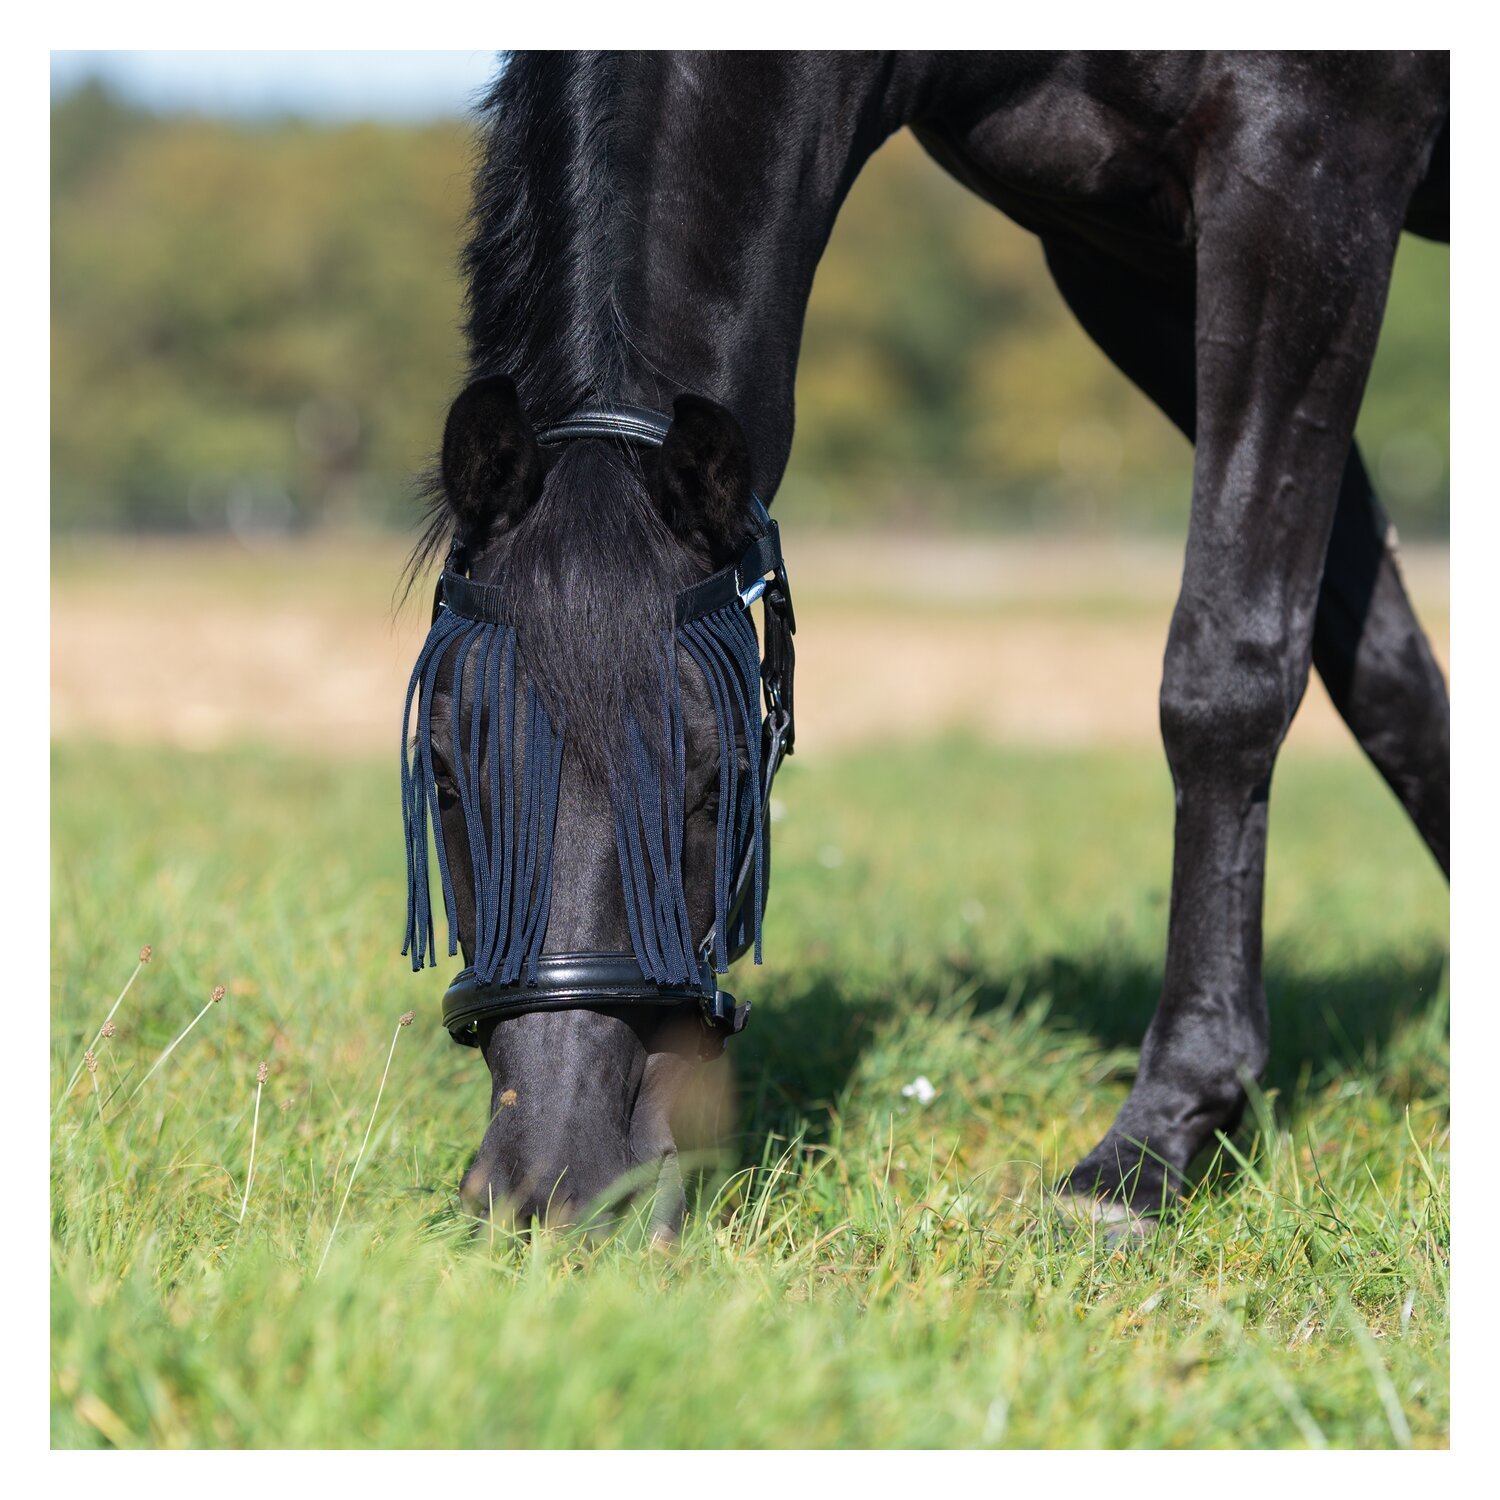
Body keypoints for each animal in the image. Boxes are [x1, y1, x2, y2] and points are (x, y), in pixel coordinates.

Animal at [397, 51, 1450, 1237]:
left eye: (719, 781)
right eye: (444, 777)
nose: (557, 1184)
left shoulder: (1311, 170)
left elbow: (1229, 669)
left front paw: (1156, 1136)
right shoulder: (1126, 260)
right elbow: (1381, 670)